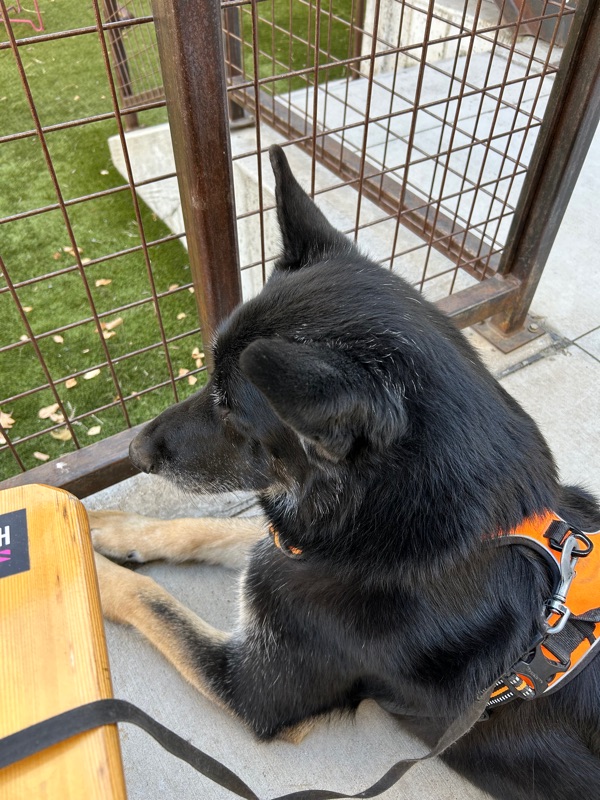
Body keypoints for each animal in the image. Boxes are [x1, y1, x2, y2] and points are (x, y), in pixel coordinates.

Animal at [91, 144, 600, 800]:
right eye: (210, 379)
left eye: (230, 406)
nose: (135, 452)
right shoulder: (290, 552)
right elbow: (211, 530)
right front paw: (108, 528)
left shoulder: (254, 687)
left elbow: (149, 596)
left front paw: (77, 569)